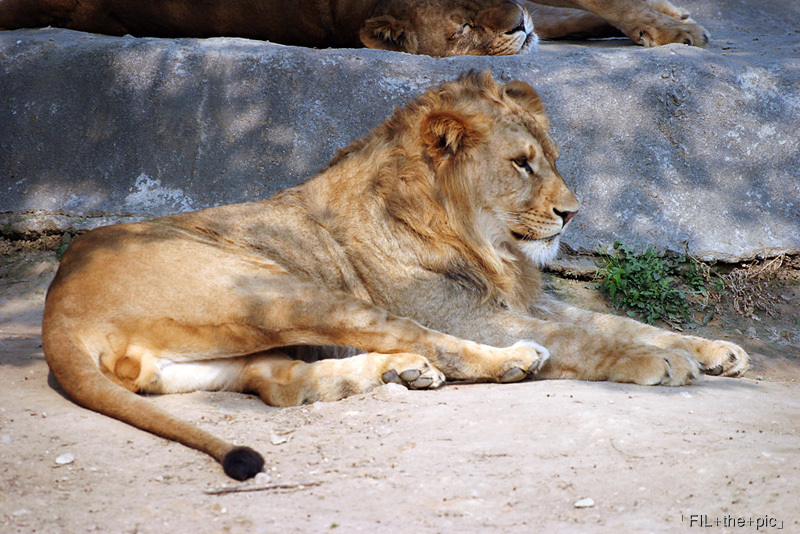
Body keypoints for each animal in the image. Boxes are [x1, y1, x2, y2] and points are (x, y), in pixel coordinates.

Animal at [42, 70, 744, 482]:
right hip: (279, 289)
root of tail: (58, 308)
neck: (486, 245)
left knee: (282, 386)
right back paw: (507, 361)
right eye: (521, 164)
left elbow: (618, 320)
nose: (572, 213)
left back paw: (400, 374)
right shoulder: (474, 314)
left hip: (215, 354)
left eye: (549, 159)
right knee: (417, 338)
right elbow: (590, 339)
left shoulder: (521, 300)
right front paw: (660, 364)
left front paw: (715, 350)